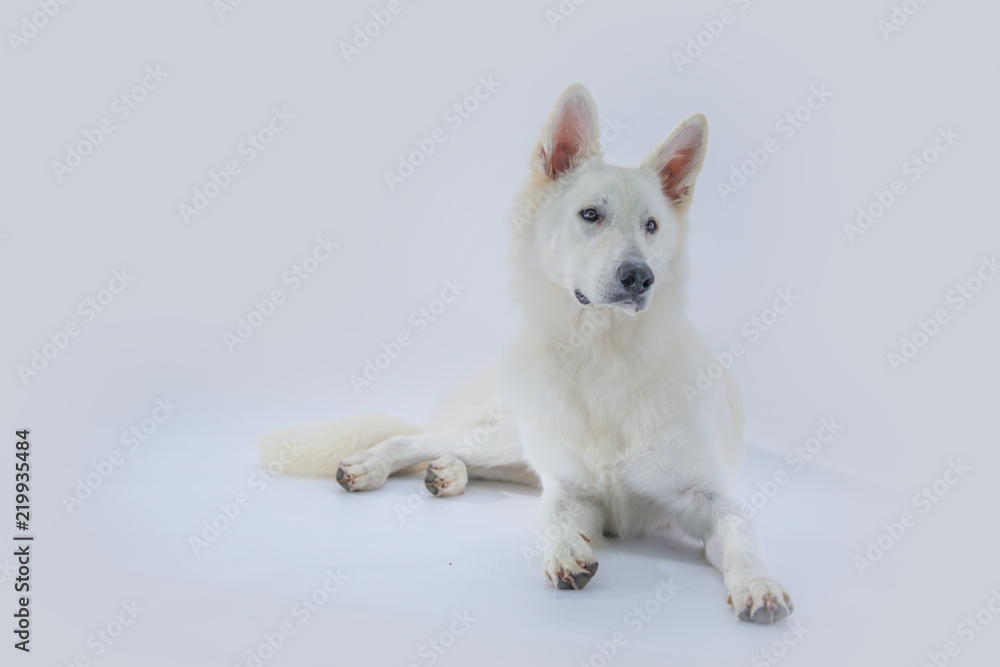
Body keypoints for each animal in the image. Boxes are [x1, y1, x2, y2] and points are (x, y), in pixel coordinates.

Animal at [262, 85, 792, 628]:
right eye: (591, 215)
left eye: (652, 226)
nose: (639, 277)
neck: (603, 357)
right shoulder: (571, 487)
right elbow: (552, 512)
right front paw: (564, 552)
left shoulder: (710, 498)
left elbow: (742, 535)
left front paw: (758, 584)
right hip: (511, 433)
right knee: (419, 438)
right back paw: (376, 463)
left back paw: (447, 473)